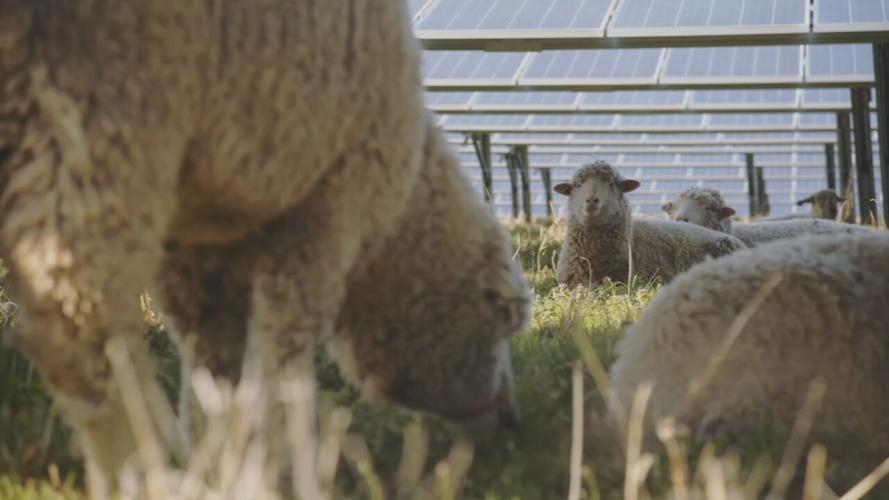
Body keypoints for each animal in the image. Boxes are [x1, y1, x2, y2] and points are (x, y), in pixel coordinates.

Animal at [0, 1, 530, 497]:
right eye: (500, 323)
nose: (511, 420)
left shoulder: (197, 243)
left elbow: (217, 362)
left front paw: (221, 455)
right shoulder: (323, 206)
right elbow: (283, 348)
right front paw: (268, 465)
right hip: (100, 95)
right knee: (80, 326)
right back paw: (145, 472)